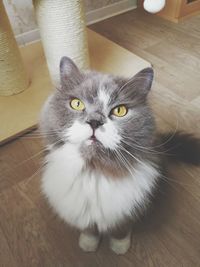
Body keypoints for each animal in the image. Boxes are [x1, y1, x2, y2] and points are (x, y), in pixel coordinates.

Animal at [39, 56, 200, 255]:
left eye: (120, 111)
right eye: (77, 104)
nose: (94, 121)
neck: (94, 173)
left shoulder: (126, 211)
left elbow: (120, 229)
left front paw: (119, 246)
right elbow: (89, 228)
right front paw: (88, 244)